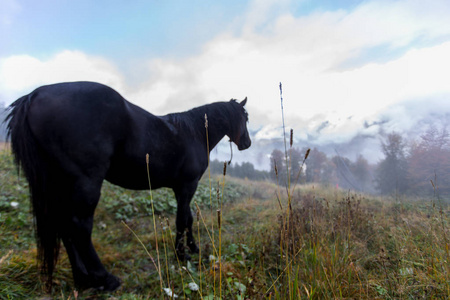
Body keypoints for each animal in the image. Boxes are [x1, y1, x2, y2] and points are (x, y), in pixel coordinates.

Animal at [5, 81, 250, 290]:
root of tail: (35, 95)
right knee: (80, 226)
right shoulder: (187, 185)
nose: (247, 143)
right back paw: (105, 279)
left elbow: (188, 218)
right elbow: (182, 220)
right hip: (86, 183)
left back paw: (83, 279)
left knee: (64, 226)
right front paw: (182, 255)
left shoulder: (180, 188)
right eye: (245, 117)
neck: (194, 132)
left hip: (60, 184)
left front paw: (193, 248)